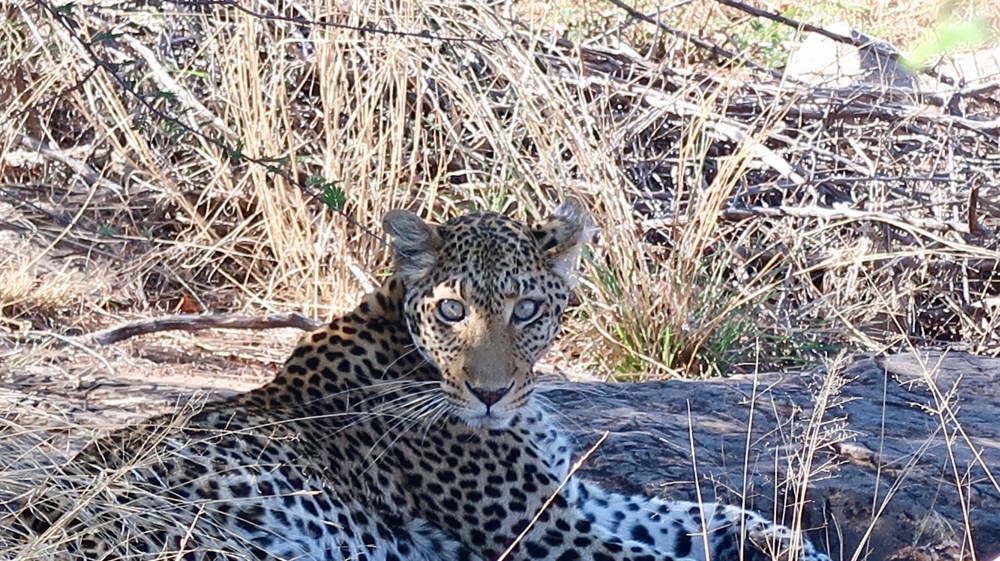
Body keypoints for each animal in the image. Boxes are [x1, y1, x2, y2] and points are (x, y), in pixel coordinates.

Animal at [16, 199, 832, 561]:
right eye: (451, 308)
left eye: (526, 308)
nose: (490, 394)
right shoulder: (540, 532)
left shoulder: (568, 498)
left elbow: (711, 516)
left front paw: (795, 545)